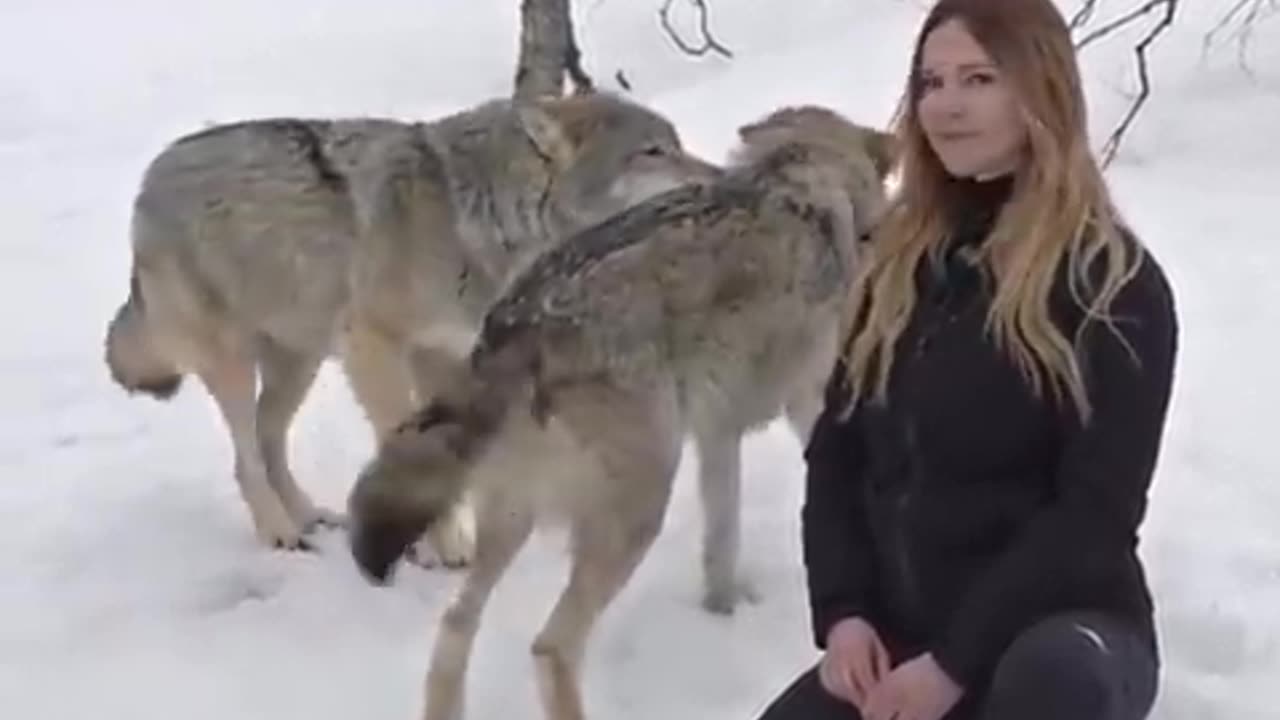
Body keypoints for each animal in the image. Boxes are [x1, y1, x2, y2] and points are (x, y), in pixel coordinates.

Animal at [102, 90, 721, 556]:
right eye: (653, 151)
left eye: (674, 145)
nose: (717, 179)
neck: (479, 218)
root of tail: (148, 179)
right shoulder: (375, 347)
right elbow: (401, 437)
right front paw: (441, 548)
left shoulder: (444, 355)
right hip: (238, 363)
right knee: (245, 454)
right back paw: (279, 532)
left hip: (300, 363)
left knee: (267, 435)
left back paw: (307, 516)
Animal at [343, 102, 890, 717]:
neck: (802, 180)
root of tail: (518, 324)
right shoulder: (807, 405)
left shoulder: (717, 430)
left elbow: (721, 539)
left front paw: (722, 613)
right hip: (639, 506)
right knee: (550, 646)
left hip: (517, 518)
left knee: (457, 623)